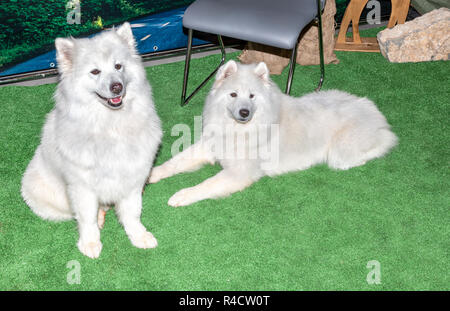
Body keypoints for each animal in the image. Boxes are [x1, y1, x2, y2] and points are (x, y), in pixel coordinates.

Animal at [21, 23, 162, 260]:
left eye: (118, 66)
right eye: (95, 71)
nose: (116, 87)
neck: (111, 126)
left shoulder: (132, 179)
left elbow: (132, 214)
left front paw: (138, 236)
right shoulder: (82, 187)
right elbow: (86, 218)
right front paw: (90, 243)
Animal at [149, 60, 398, 207]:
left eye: (252, 96)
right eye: (233, 94)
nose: (244, 112)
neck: (238, 129)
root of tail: (376, 113)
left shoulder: (239, 173)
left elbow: (207, 184)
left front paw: (182, 195)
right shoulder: (209, 146)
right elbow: (175, 162)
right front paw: (151, 174)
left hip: (341, 152)